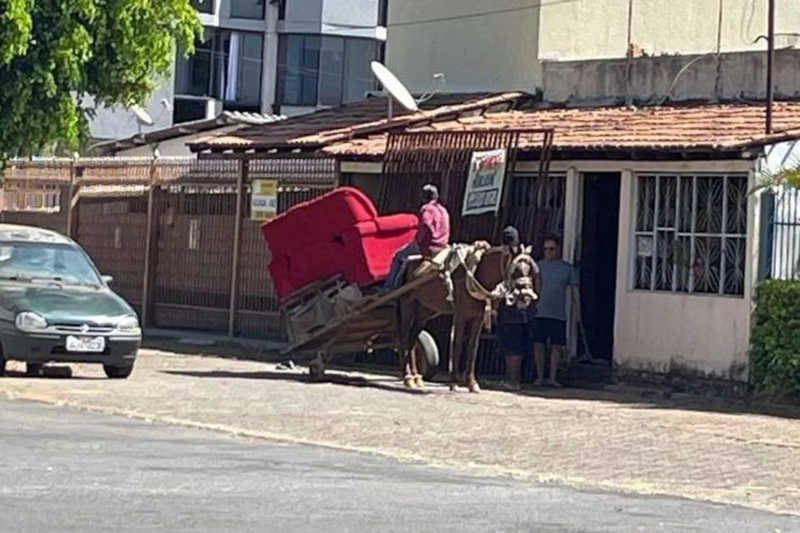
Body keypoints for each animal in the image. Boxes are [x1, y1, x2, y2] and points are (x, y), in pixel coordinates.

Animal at [396, 244, 536, 390]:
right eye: (515, 271)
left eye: (529, 270)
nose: (527, 296)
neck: (477, 274)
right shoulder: (460, 315)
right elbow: (457, 345)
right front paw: (453, 382)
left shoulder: (478, 318)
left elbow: (472, 348)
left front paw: (472, 383)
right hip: (407, 306)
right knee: (404, 339)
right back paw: (408, 378)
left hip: (423, 312)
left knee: (412, 341)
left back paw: (416, 377)